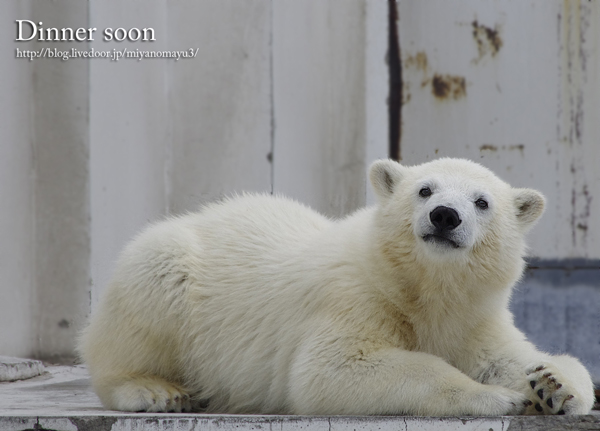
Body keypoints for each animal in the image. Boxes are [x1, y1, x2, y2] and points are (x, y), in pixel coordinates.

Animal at [78, 158, 596, 416]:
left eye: (482, 201)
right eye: (425, 189)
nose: (445, 216)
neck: (420, 287)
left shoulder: (472, 317)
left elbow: (507, 356)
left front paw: (551, 383)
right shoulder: (355, 298)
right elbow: (334, 369)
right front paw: (502, 398)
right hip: (168, 275)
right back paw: (156, 391)